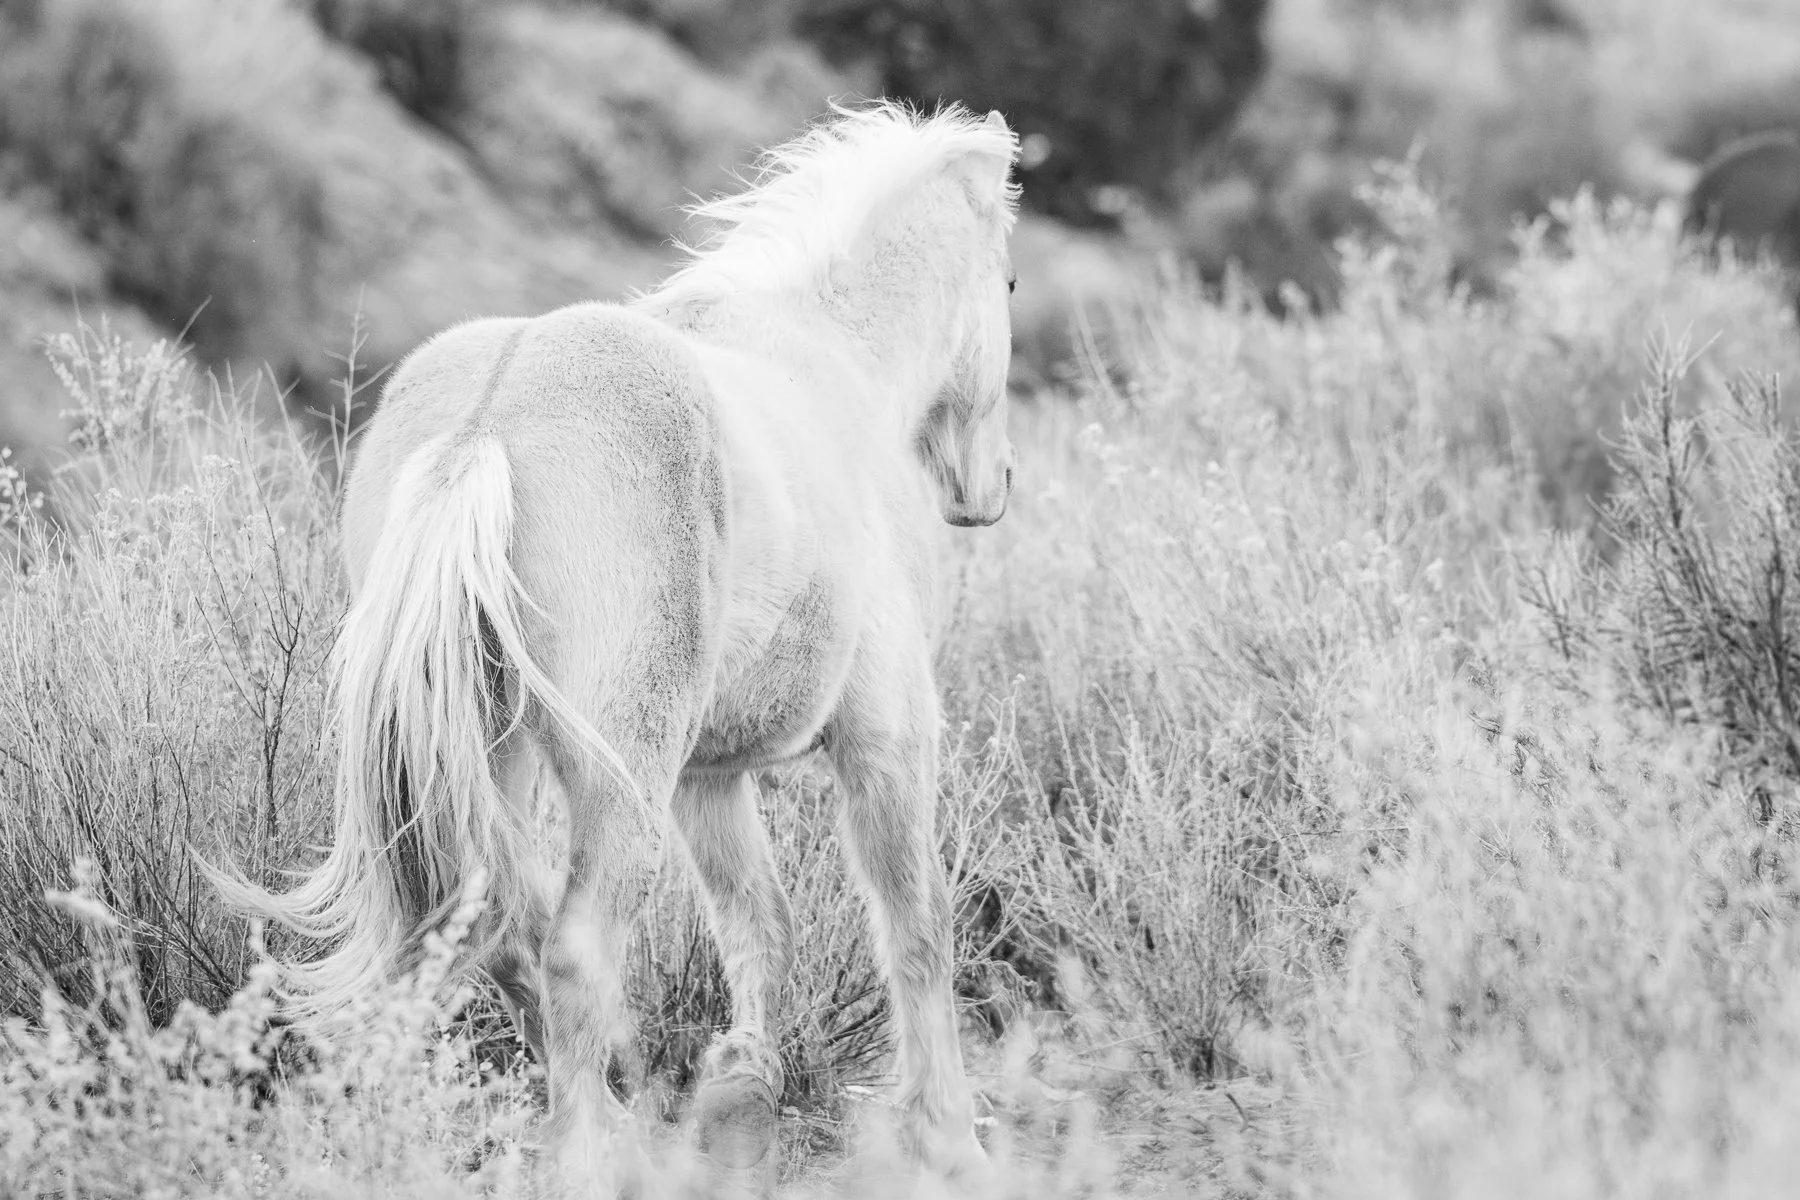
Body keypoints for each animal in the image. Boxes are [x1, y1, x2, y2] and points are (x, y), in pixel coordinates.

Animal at [227, 102, 1020, 1193]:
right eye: (1010, 282)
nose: (990, 489)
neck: (835, 360)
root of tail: (486, 424)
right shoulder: (887, 737)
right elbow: (917, 923)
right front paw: (948, 1136)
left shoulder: (711, 780)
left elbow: (762, 927)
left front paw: (739, 1095)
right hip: (619, 777)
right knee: (573, 950)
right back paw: (598, 1153)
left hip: (499, 760)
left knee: (500, 933)